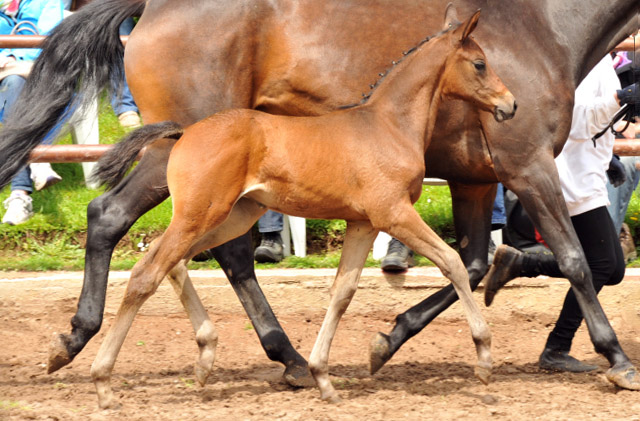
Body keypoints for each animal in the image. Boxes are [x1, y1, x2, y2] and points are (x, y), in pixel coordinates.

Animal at [90, 8, 516, 406]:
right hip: (200, 215)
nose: (510, 104)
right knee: (147, 273)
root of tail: (184, 131)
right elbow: (453, 262)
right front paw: (484, 359)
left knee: (174, 264)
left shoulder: (362, 223)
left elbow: (342, 292)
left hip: (231, 216)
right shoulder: (393, 214)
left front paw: (323, 378)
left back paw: (205, 359)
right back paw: (103, 381)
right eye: (480, 63)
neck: (389, 125)